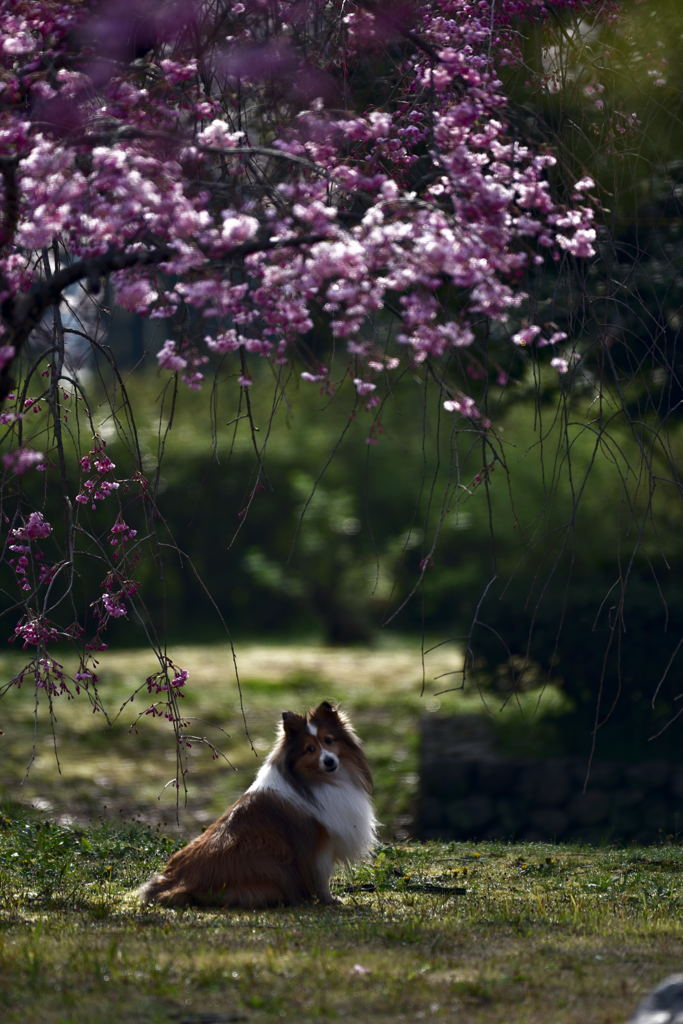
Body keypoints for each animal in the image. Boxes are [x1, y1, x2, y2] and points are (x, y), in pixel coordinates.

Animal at [137, 700, 376, 909]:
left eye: (328, 740)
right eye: (309, 749)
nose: (329, 761)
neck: (315, 781)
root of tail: (172, 883)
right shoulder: (319, 843)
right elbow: (322, 876)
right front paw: (330, 900)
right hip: (269, 865)